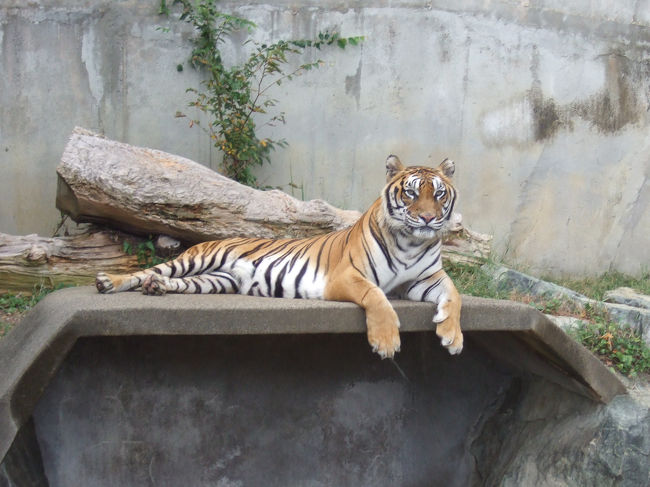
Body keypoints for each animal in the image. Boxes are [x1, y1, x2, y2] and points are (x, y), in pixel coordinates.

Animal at [95, 154, 460, 360]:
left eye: (439, 194)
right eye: (410, 193)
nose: (428, 219)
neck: (411, 243)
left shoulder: (425, 280)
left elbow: (454, 296)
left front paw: (452, 338)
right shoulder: (347, 276)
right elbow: (377, 297)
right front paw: (386, 342)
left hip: (214, 280)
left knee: (171, 281)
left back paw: (157, 289)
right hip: (195, 259)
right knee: (149, 270)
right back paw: (108, 282)